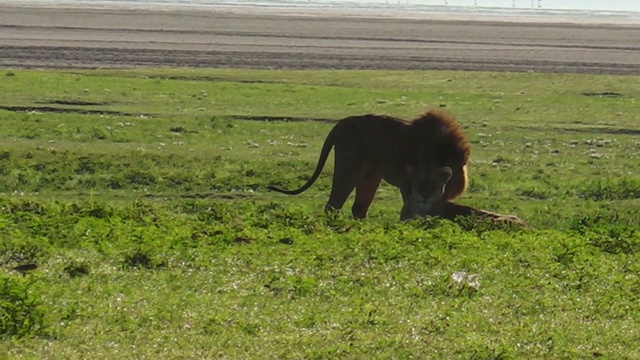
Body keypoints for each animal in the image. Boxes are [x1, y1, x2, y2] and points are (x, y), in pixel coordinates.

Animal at [264, 108, 470, 218]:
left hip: (371, 176)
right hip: (349, 165)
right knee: (333, 204)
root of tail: (342, 123)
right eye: (420, 181)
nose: (426, 194)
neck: (439, 154)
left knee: (359, 207)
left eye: (437, 182)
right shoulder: (407, 184)